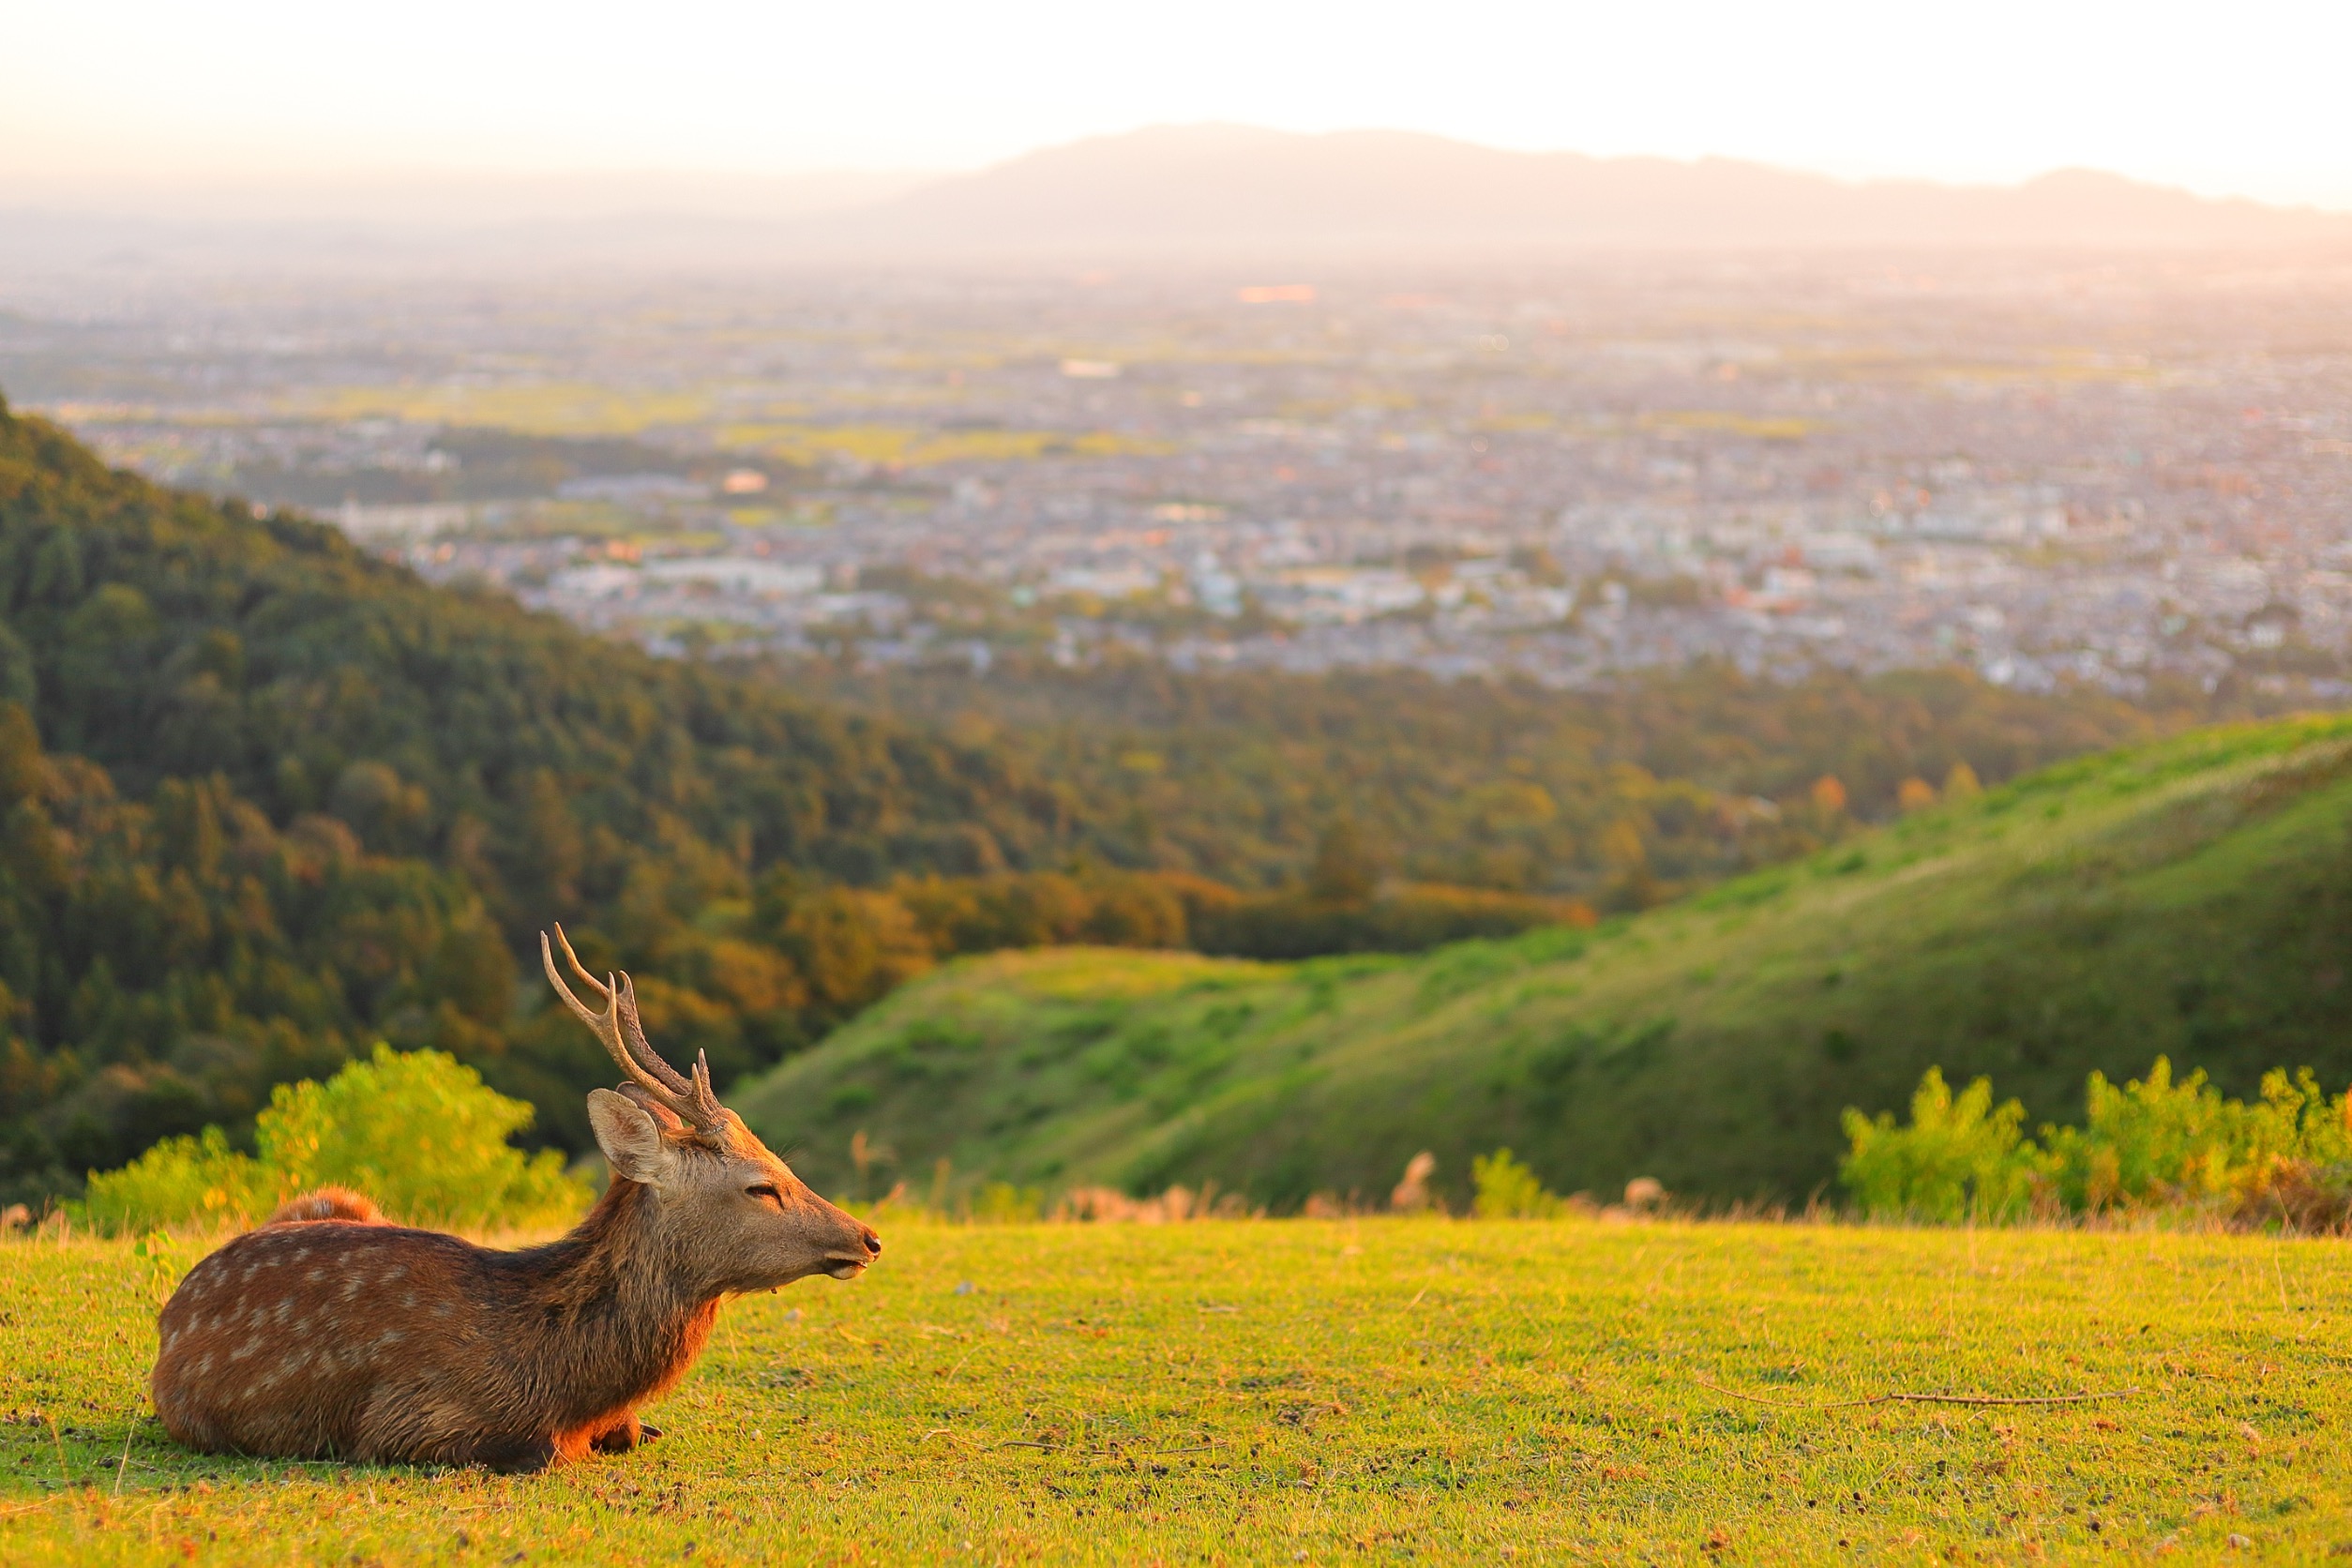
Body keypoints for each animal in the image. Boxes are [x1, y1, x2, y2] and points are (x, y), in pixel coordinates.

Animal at [149, 926, 884, 1467]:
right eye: (761, 1186)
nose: (868, 1237)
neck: (557, 1378)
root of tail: (169, 1315)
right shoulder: (402, 1420)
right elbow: (546, 1452)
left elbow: (629, 1429)